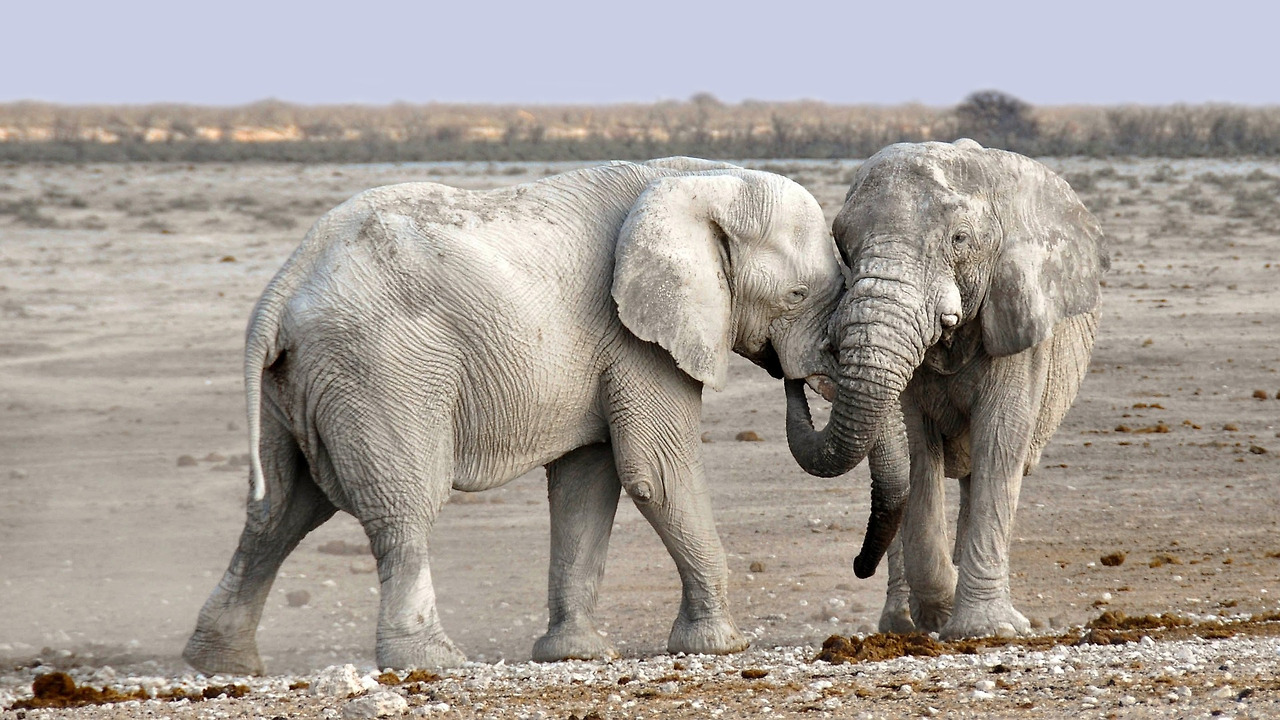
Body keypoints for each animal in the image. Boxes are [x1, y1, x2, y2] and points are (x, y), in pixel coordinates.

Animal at [183, 157, 845, 674]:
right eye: (796, 297)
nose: (795, 379)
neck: (702, 180)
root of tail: (283, 286)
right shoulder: (638, 338)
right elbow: (656, 473)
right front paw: (721, 646)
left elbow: (587, 484)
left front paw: (575, 655)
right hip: (380, 371)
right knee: (402, 507)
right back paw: (432, 662)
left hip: (298, 384)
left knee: (280, 511)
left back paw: (222, 664)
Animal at [785, 139, 1109, 638]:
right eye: (842, 244)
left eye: (959, 240)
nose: (797, 377)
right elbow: (917, 451)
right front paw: (942, 611)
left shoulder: (1017, 317)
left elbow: (1001, 440)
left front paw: (986, 630)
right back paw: (902, 625)